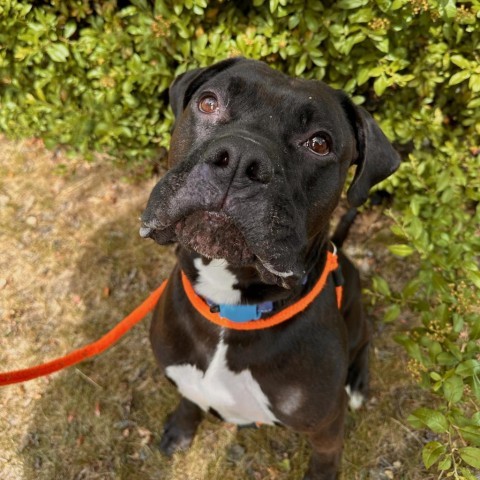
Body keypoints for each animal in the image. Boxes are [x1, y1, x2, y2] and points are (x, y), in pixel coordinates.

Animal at [140, 58, 402, 478]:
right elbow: (189, 400)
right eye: (208, 102)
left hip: (357, 313)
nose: (240, 157)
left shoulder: (327, 428)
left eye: (319, 143)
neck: (230, 309)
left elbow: (325, 461)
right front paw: (181, 430)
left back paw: (358, 384)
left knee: (364, 342)